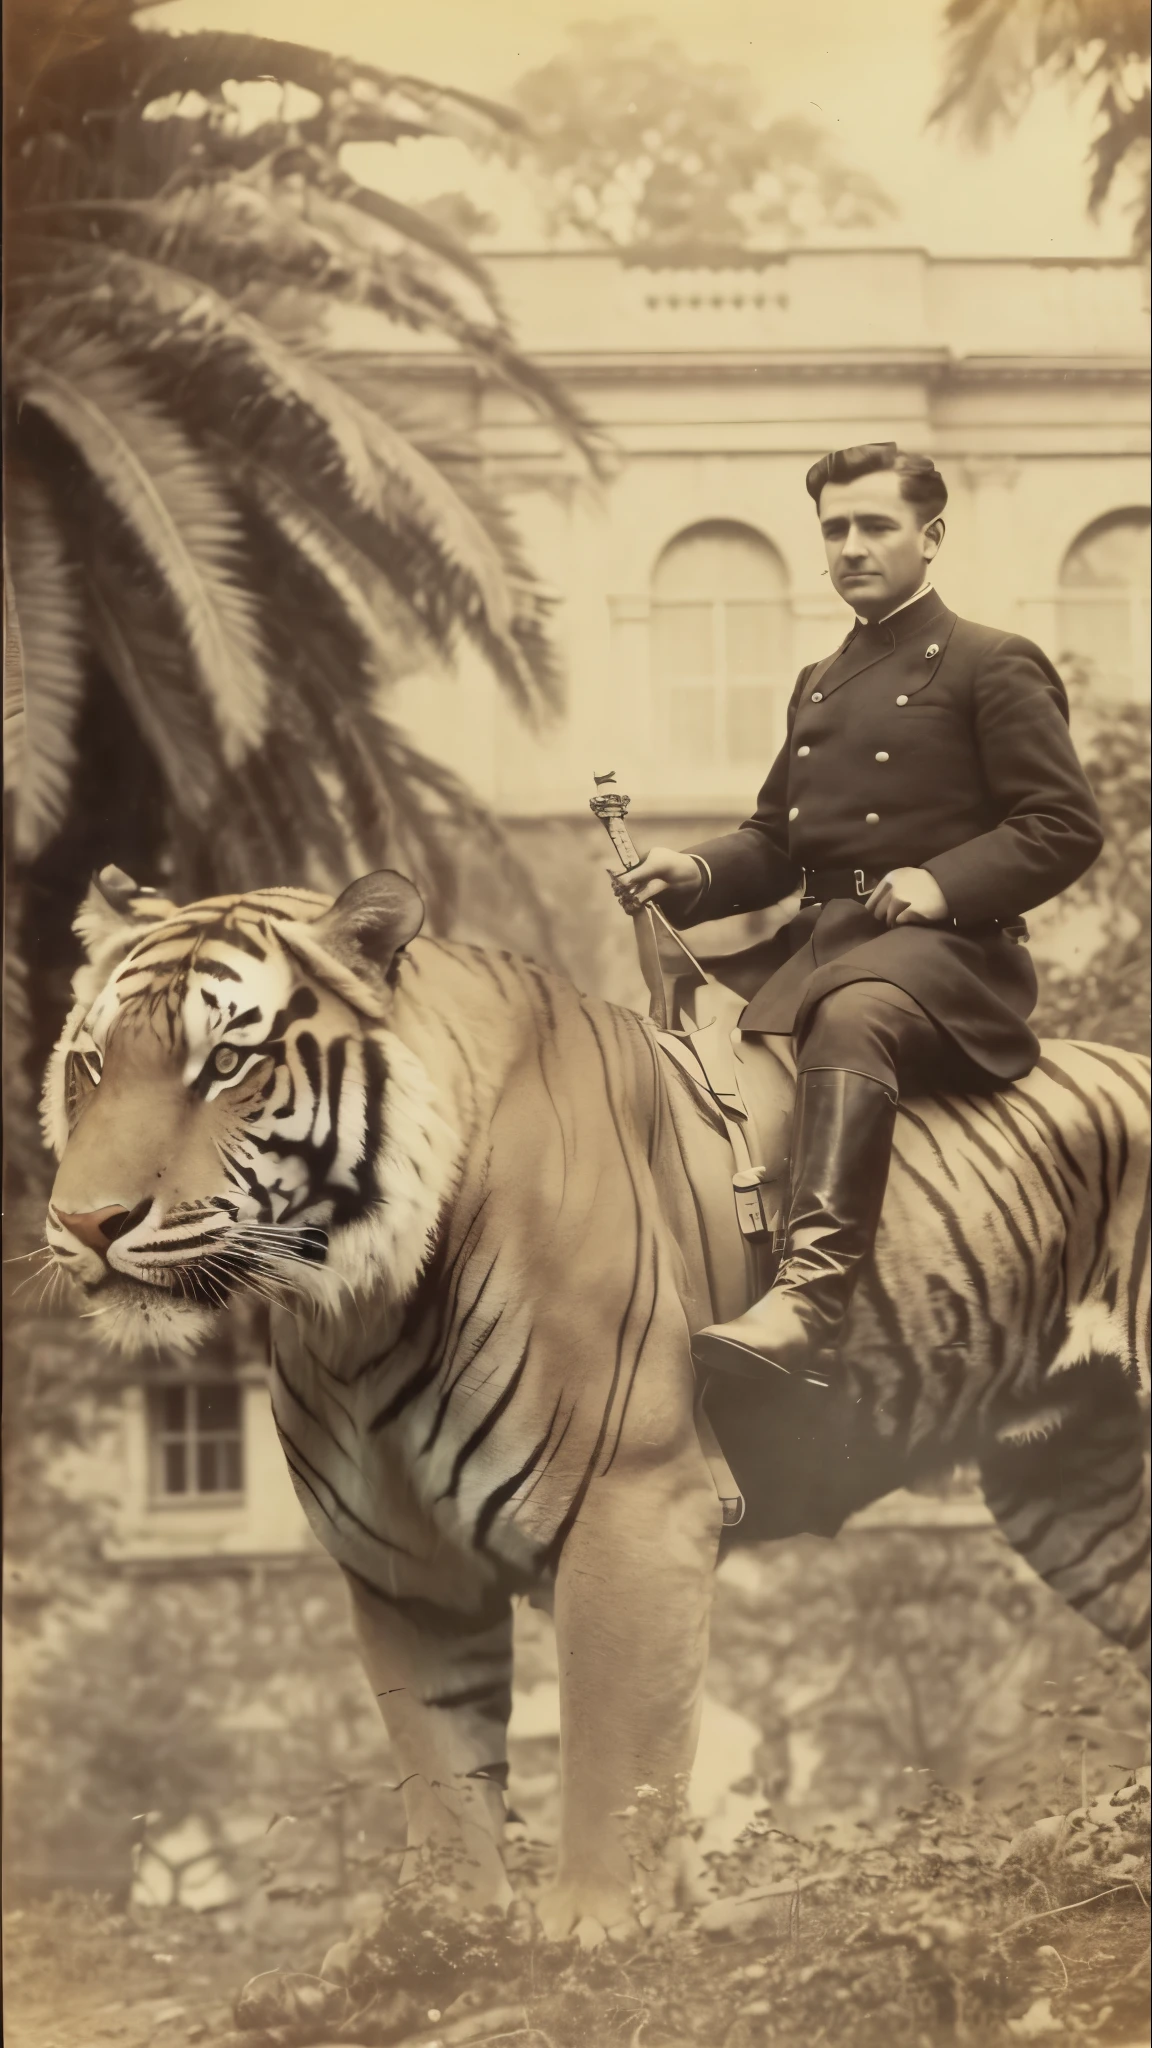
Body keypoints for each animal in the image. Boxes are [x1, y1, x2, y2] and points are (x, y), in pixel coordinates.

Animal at [40, 860, 1139, 1933]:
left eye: (227, 1063)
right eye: (91, 1066)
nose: (86, 1221)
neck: (359, 1304)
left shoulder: (636, 1502)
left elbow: (614, 1744)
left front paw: (594, 1933)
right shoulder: (406, 1565)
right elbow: (439, 1768)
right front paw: (435, 1942)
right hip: (1077, 1490)